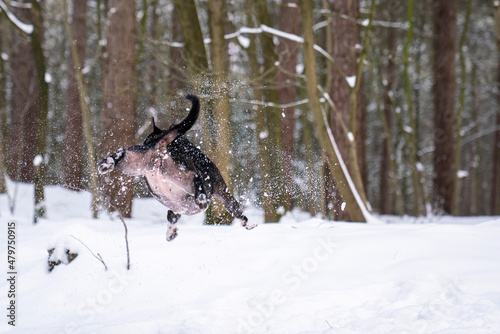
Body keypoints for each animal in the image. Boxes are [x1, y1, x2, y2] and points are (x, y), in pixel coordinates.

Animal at [97, 93, 256, 240]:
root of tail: (159, 146)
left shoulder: (176, 208)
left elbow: (171, 216)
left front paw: (171, 232)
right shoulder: (222, 192)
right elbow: (238, 212)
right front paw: (248, 223)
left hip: (136, 161)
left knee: (121, 152)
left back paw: (107, 163)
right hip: (184, 176)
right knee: (196, 177)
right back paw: (202, 199)